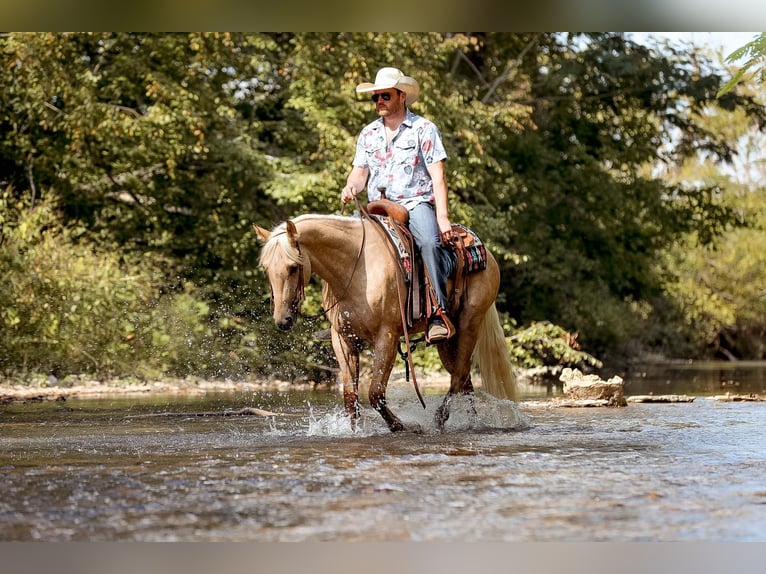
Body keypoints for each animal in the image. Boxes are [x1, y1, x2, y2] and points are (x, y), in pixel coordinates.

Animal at [255, 214, 520, 434]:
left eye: (293, 267)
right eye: (266, 268)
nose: (282, 320)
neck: (356, 268)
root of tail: (486, 253)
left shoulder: (388, 336)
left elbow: (375, 393)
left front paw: (401, 426)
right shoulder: (342, 340)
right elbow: (350, 396)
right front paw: (353, 432)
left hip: (469, 324)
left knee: (459, 377)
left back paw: (440, 420)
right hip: (447, 340)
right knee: (464, 380)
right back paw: (471, 422)